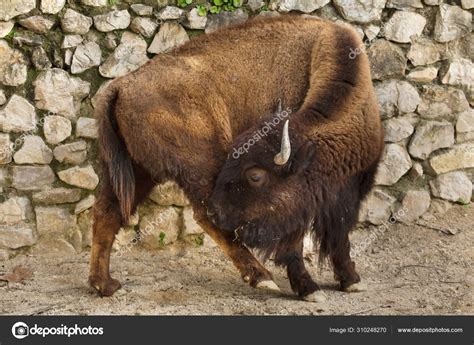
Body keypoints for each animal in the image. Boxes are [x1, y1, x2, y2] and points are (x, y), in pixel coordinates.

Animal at [89, 15, 384, 300]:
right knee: (203, 217)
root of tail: (120, 86)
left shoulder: (349, 191)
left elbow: (339, 234)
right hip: (196, 166)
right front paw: (310, 288)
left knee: (107, 213)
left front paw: (350, 281)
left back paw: (105, 285)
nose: (218, 211)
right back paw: (262, 277)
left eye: (254, 175)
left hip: (137, 170)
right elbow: (298, 240)